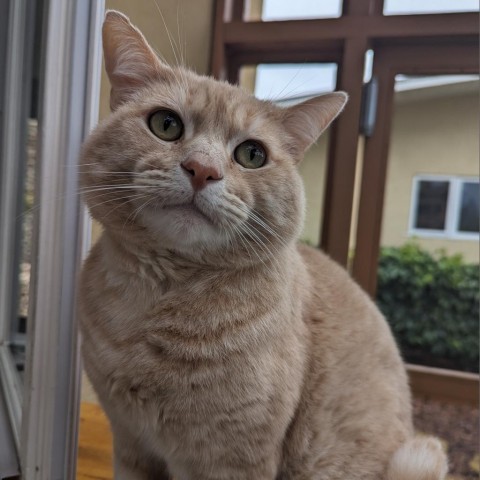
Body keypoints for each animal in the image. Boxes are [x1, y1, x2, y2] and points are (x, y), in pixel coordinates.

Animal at [77, 10, 448, 480]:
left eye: (251, 155)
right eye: (166, 125)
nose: (202, 169)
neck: (159, 299)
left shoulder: (230, 459)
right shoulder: (130, 444)